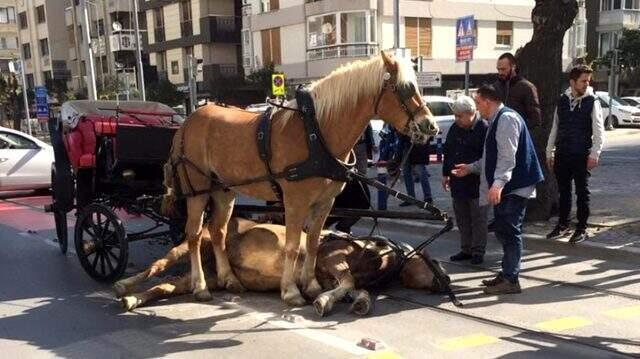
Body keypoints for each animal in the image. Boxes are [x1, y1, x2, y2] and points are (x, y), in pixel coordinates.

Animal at [114, 217, 444, 318]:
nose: (444, 283)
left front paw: (359, 304)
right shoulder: (331, 258)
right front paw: (322, 303)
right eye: (433, 260)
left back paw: (132, 300)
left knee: (165, 286)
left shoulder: (333, 275)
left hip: (206, 277)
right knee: (157, 267)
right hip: (193, 243)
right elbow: (349, 282)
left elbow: (356, 289)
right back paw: (123, 285)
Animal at [161, 52, 440, 308]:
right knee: (195, 234)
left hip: (224, 191)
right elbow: (293, 245)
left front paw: (312, 285)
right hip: (197, 191)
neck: (316, 132)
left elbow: (313, 243)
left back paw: (229, 278)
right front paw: (291, 291)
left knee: (218, 232)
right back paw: (200, 286)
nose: (431, 126)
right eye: (403, 88)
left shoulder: (325, 202)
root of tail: (187, 122)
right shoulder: (295, 201)